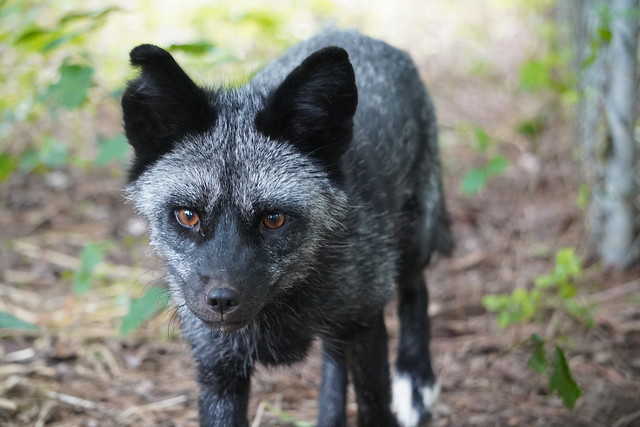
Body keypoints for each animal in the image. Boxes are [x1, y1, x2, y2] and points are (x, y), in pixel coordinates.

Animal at [122, 29, 453, 427]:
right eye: (188, 216)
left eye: (274, 219)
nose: (221, 301)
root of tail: (353, 32)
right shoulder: (218, 368)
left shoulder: (364, 321)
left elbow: (374, 406)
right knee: (334, 356)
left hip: (413, 242)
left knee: (415, 290)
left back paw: (416, 381)